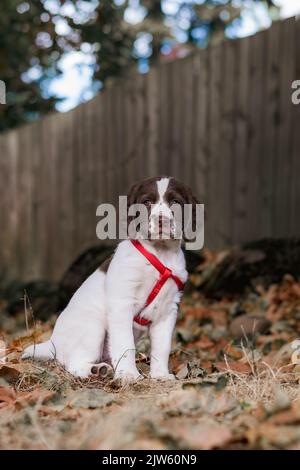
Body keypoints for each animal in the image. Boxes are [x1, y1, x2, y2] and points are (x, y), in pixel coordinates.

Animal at [22, 176, 198, 382]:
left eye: (175, 202)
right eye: (147, 202)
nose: (161, 219)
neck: (160, 252)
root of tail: (52, 343)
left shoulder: (168, 310)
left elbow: (162, 347)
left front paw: (161, 374)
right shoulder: (122, 303)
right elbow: (125, 342)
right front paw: (129, 374)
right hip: (93, 326)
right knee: (74, 364)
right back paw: (95, 371)